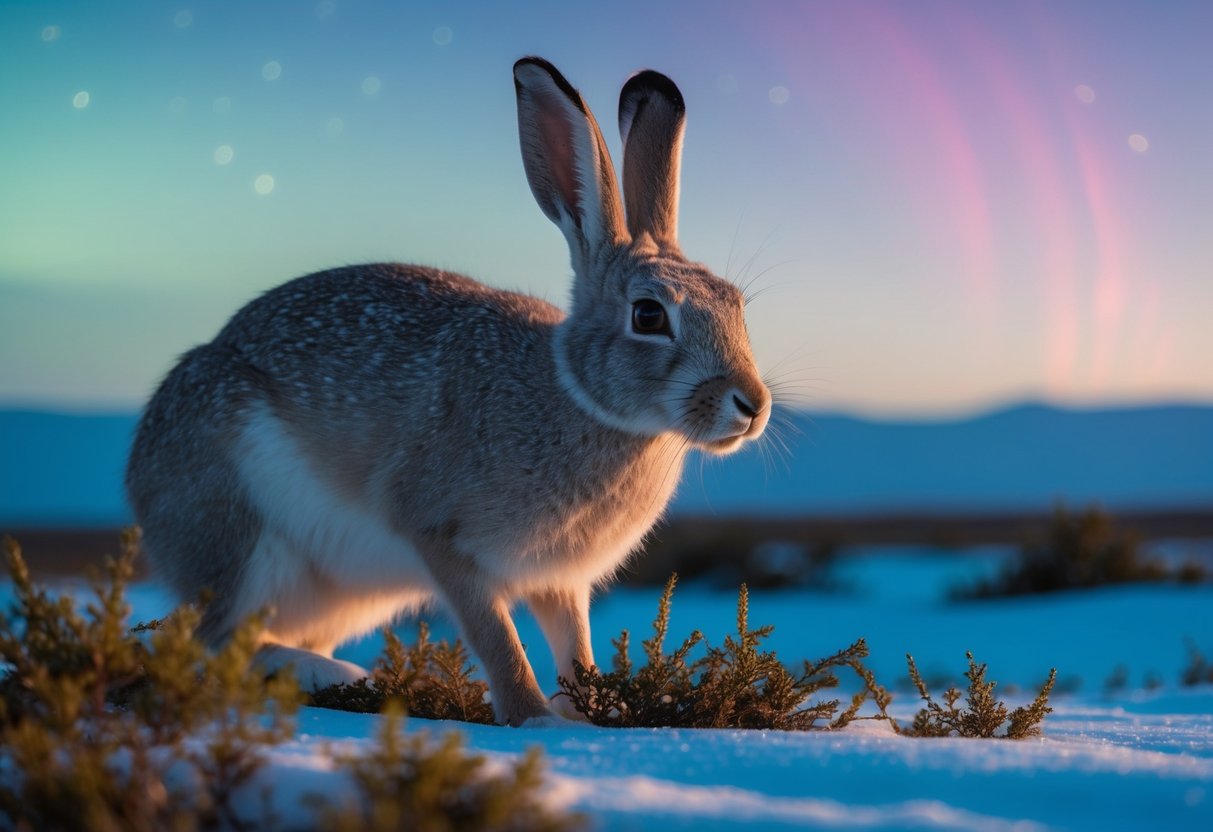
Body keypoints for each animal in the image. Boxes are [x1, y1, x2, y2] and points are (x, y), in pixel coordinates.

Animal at [125, 56, 771, 726]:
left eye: (736, 304)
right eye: (648, 315)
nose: (752, 406)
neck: (579, 399)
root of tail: (139, 477)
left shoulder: (559, 580)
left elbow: (575, 649)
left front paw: (597, 715)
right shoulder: (440, 537)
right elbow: (497, 638)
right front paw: (533, 717)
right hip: (241, 534)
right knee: (217, 638)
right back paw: (330, 672)